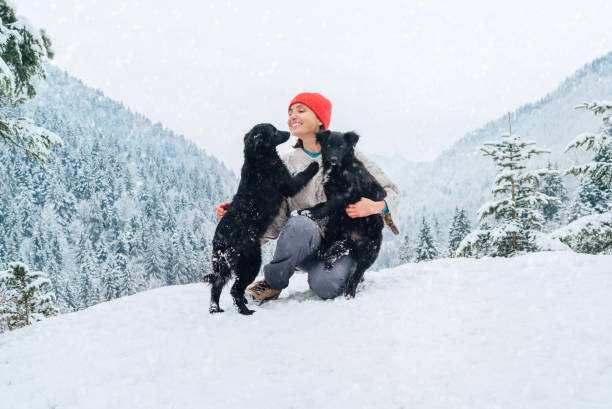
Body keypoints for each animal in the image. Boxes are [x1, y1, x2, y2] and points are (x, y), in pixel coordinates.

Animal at [202, 122, 320, 314]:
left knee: (217, 285)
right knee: (235, 289)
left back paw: (215, 309)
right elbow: (302, 176)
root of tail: (220, 241)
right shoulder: (287, 183)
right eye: (275, 132)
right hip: (251, 261)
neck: (257, 159)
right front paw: (314, 165)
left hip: (222, 265)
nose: (289, 132)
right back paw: (245, 311)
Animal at [298, 130, 384, 296]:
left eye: (341, 146)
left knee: (358, 272)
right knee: (332, 249)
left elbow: (328, 205)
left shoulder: (347, 193)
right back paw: (326, 253)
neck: (340, 168)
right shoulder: (331, 193)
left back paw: (350, 292)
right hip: (335, 226)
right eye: (329, 145)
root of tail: (352, 239)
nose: (333, 160)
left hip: (369, 250)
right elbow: (322, 204)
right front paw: (307, 211)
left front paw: (312, 214)